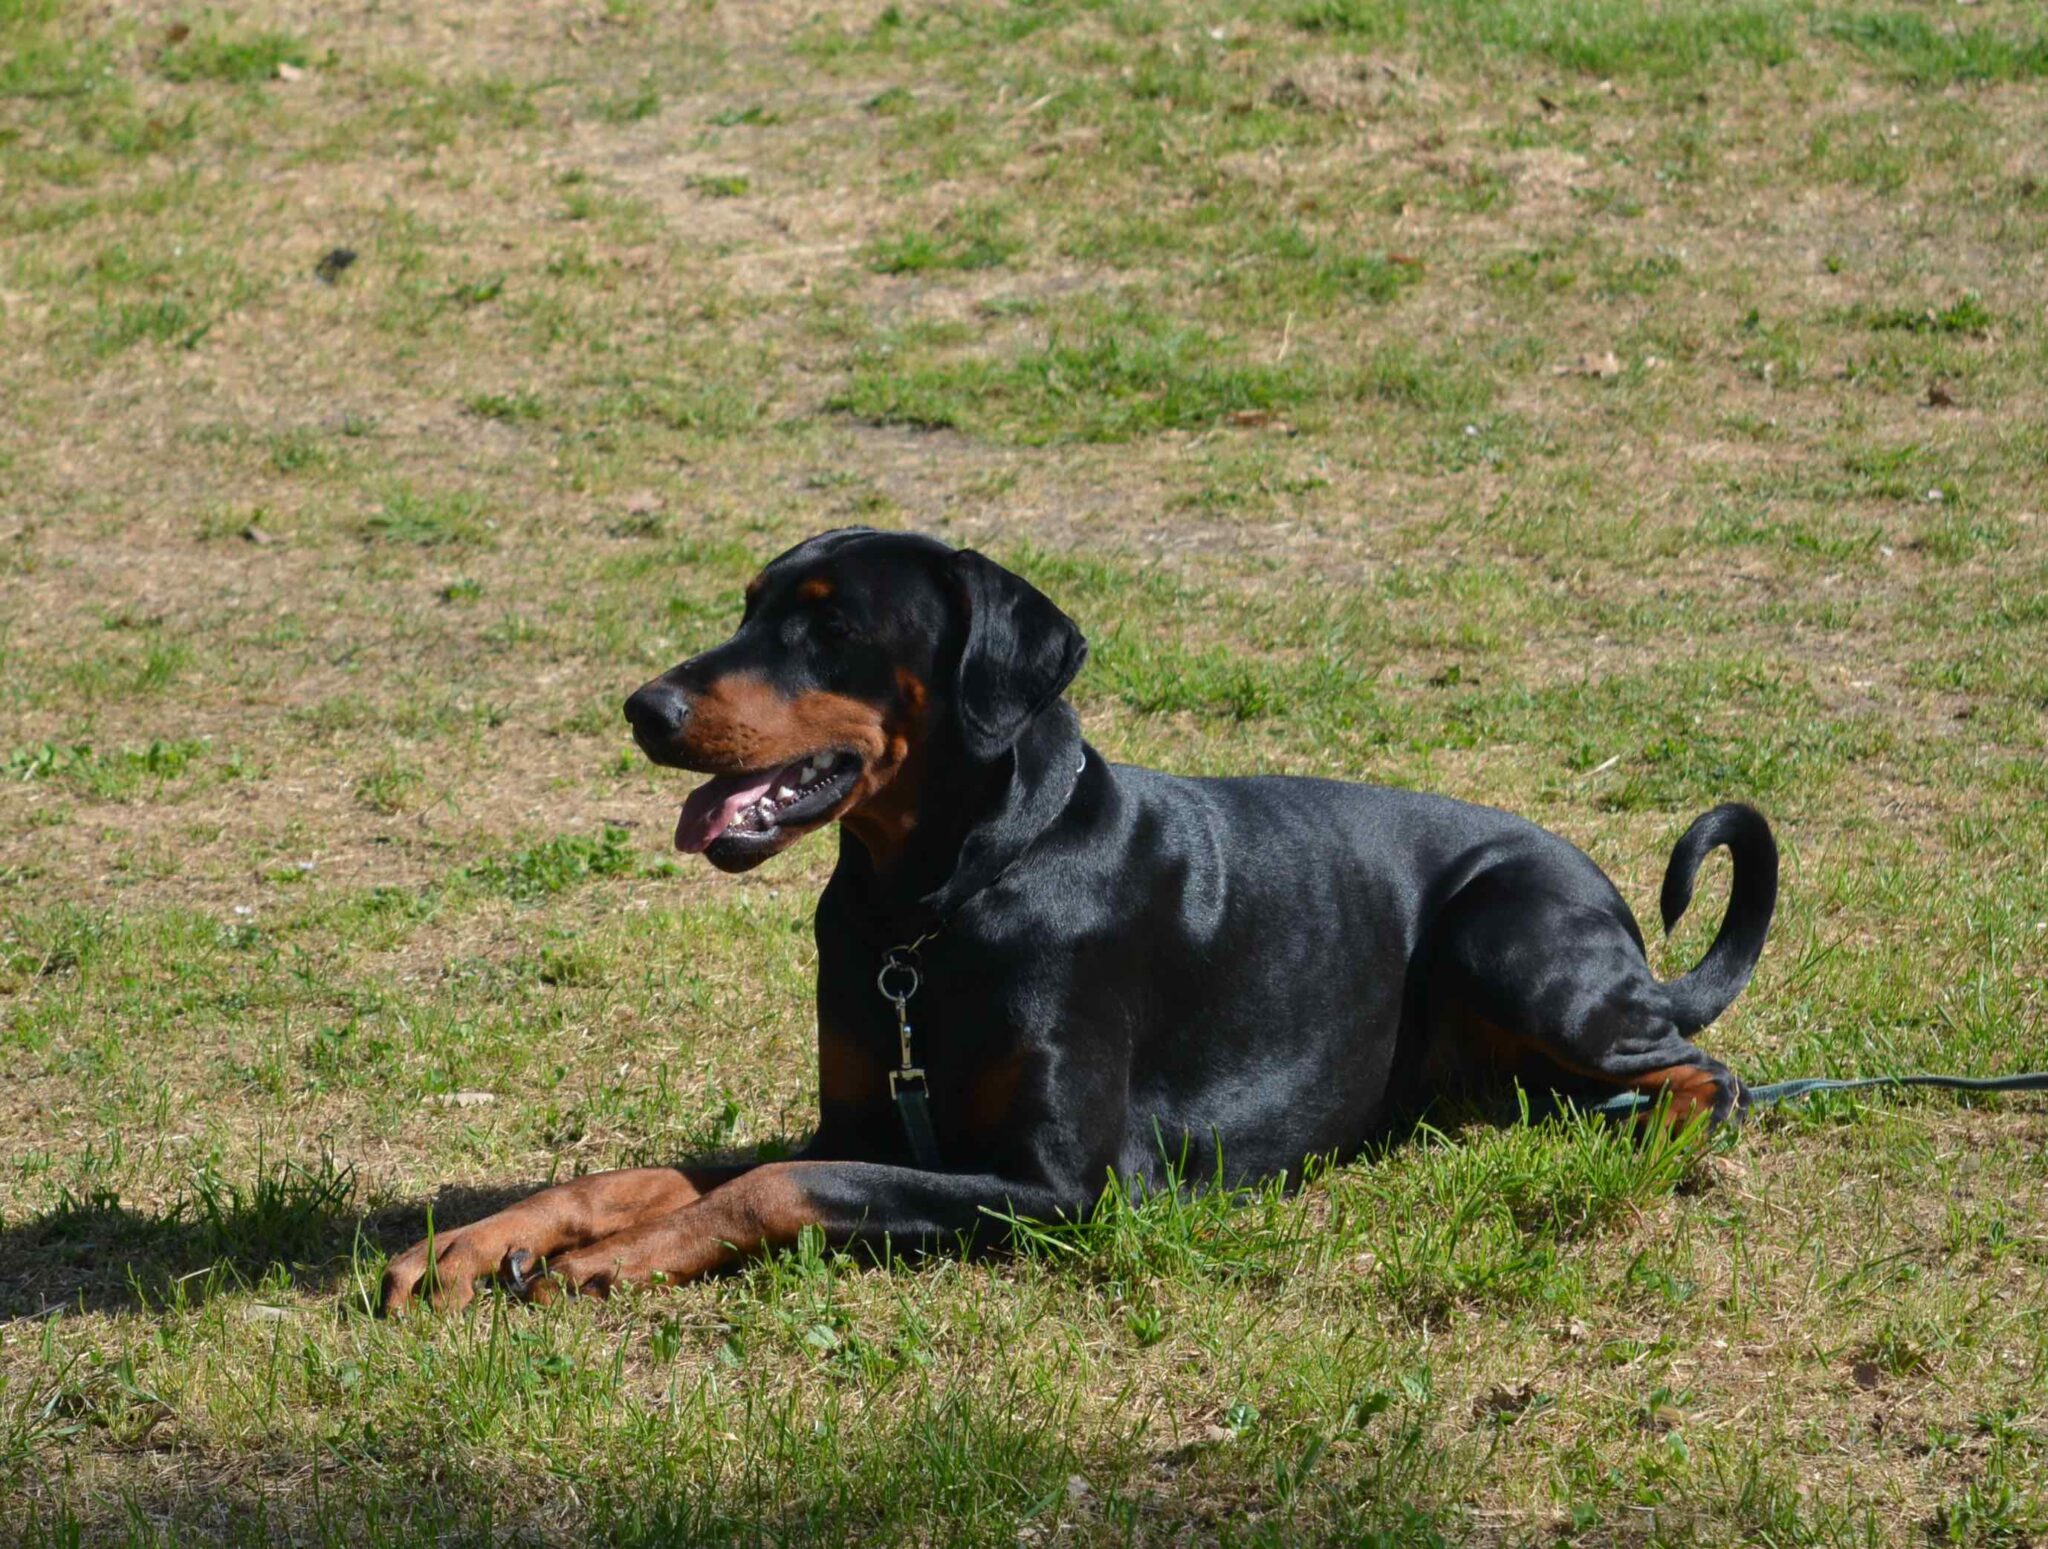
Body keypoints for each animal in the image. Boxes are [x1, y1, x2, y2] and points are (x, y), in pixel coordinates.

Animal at [381, 528, 1775, 1311]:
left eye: (830, 623)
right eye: (746, 605)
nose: (645, 707)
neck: (931, 907)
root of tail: (1607, 904)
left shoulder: (1062, 1186)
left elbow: (778, 1184)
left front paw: (600, 1263)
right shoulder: (865, 1119)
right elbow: (653, 1171)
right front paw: (477, 1245)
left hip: (1509, 937)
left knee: (1706, 1069)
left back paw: (1648, 1140)